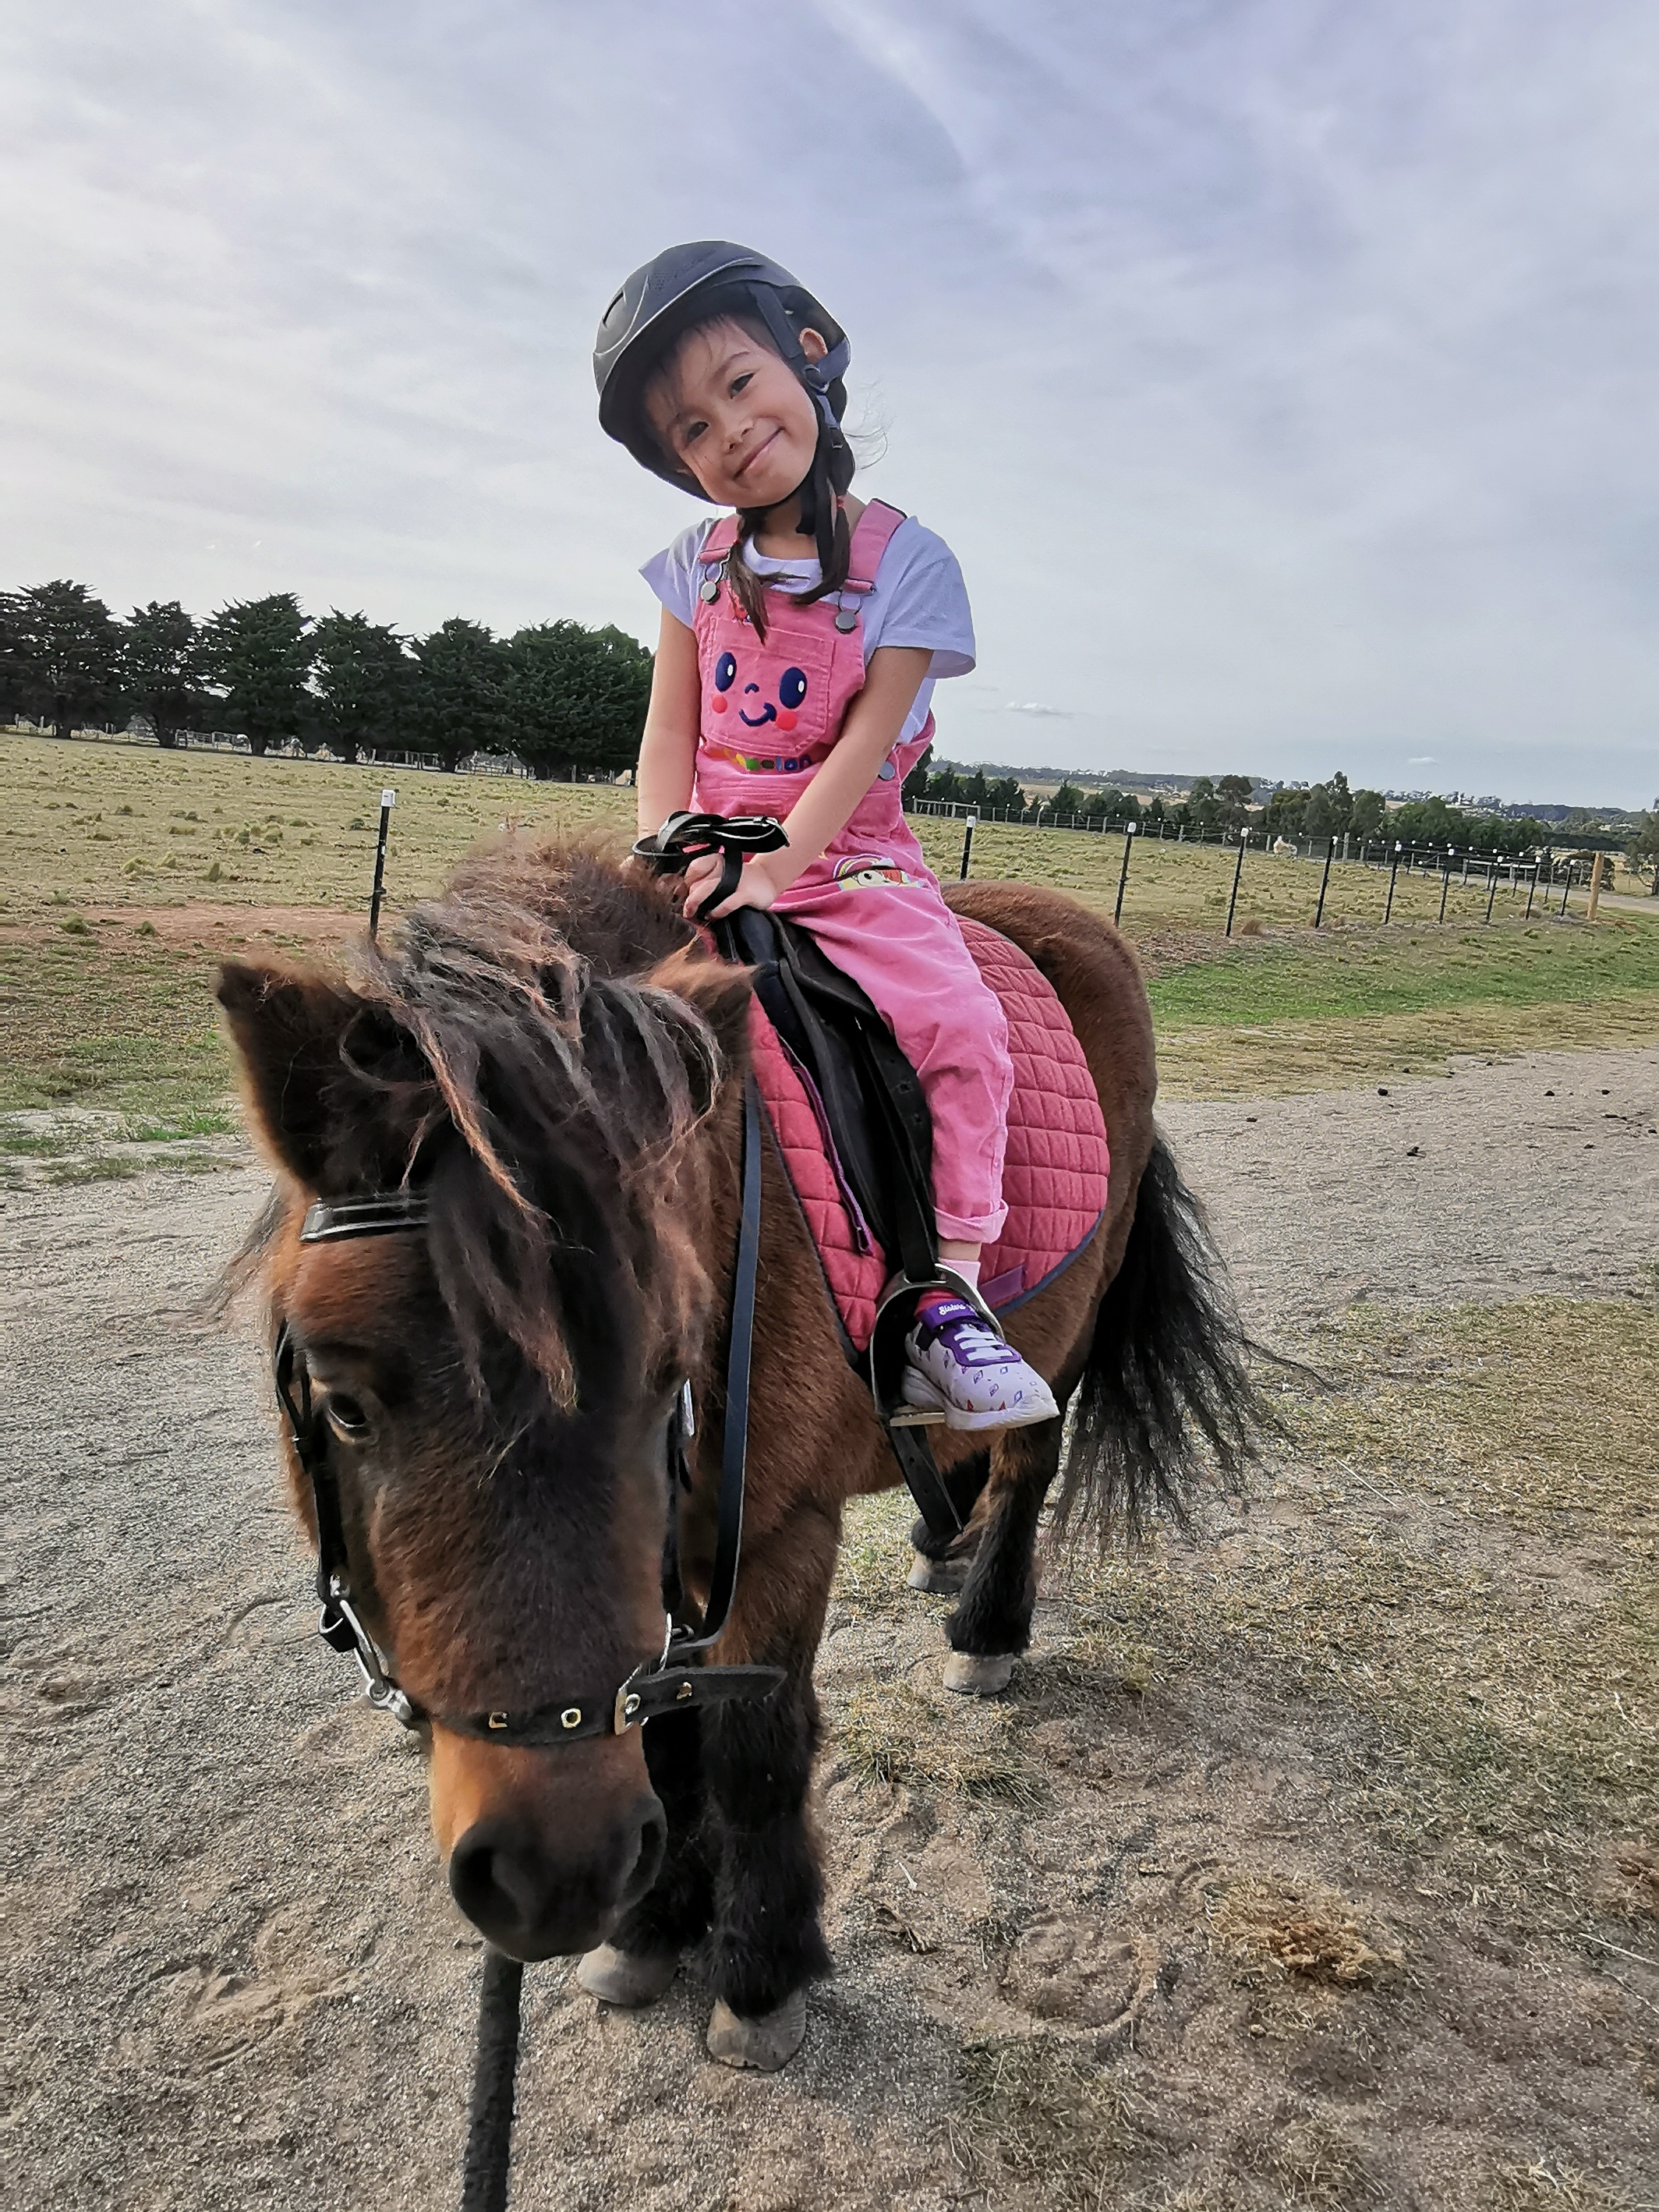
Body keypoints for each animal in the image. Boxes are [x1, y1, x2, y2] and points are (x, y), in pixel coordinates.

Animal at [217, 830, 1262, 2071]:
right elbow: (666, 1738)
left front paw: (760, 1973)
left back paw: (986, 1625)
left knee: (1026, 1464)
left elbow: (752, 1749)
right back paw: (939, 1542)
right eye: (343, 1404)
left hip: (1068, 1323)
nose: (556, 1868)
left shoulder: (778, 1537)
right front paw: (654, 1927)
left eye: (667, 1368)